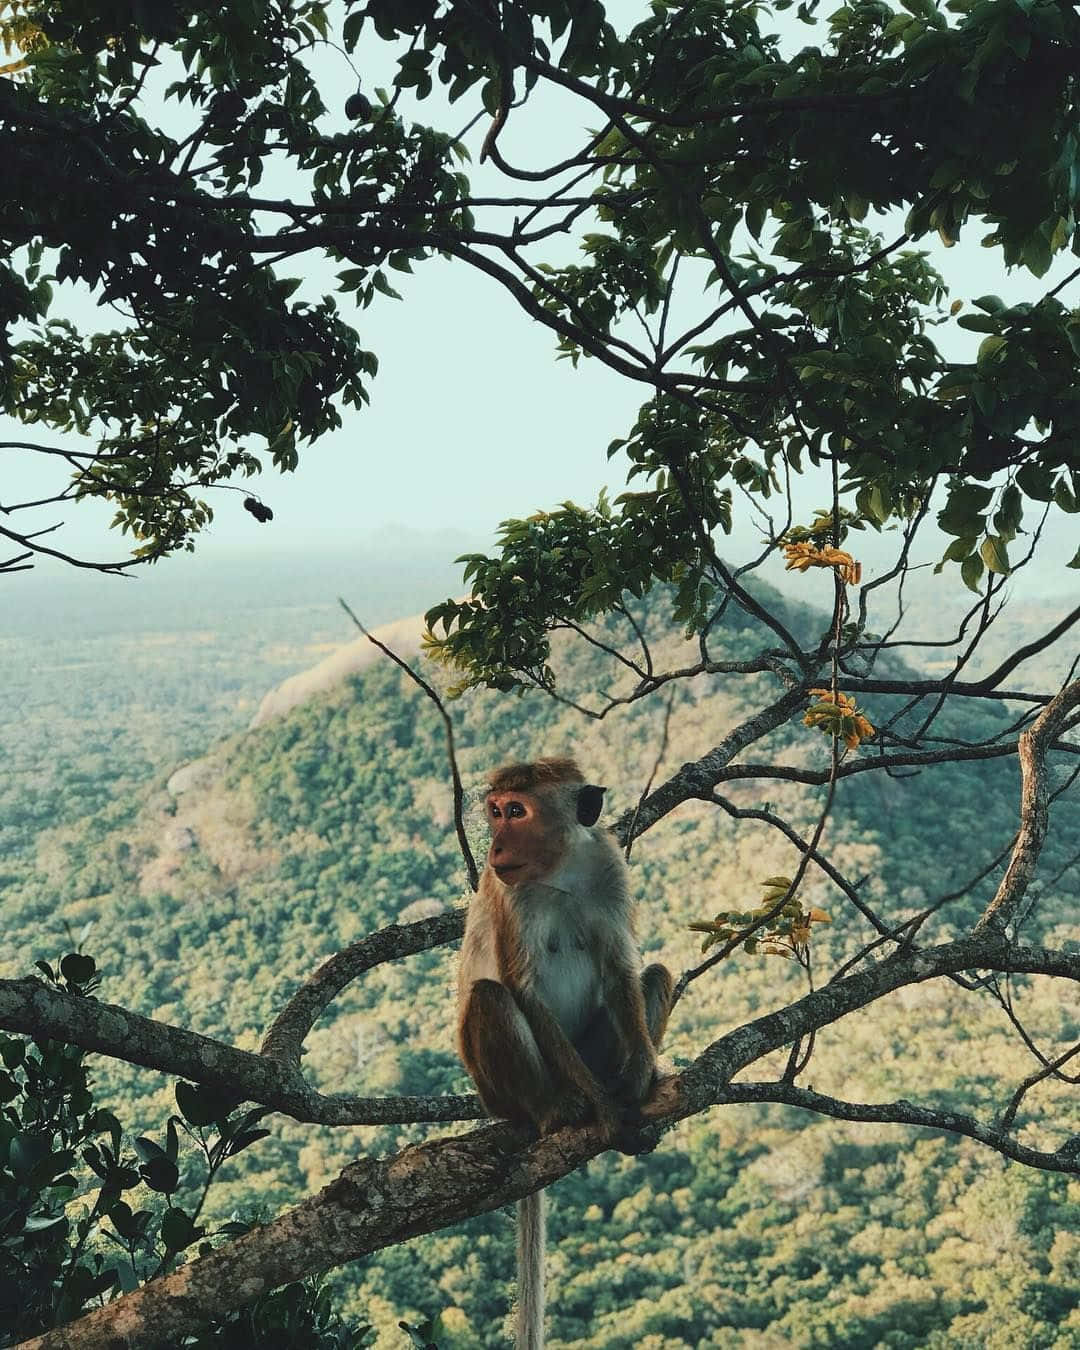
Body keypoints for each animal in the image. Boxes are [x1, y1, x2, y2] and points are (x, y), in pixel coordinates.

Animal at [456, 757, 673, 1350]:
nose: (495, 845)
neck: (560, 873)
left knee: (654, 975)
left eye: (516, 811)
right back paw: (555, 1111)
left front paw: (638, 1079)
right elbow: (525, 991)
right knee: (491, 996)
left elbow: (621, 968)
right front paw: (602, 1111)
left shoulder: (608, 868)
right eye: (495, 811)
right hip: (497, 1091)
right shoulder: (509, 894)